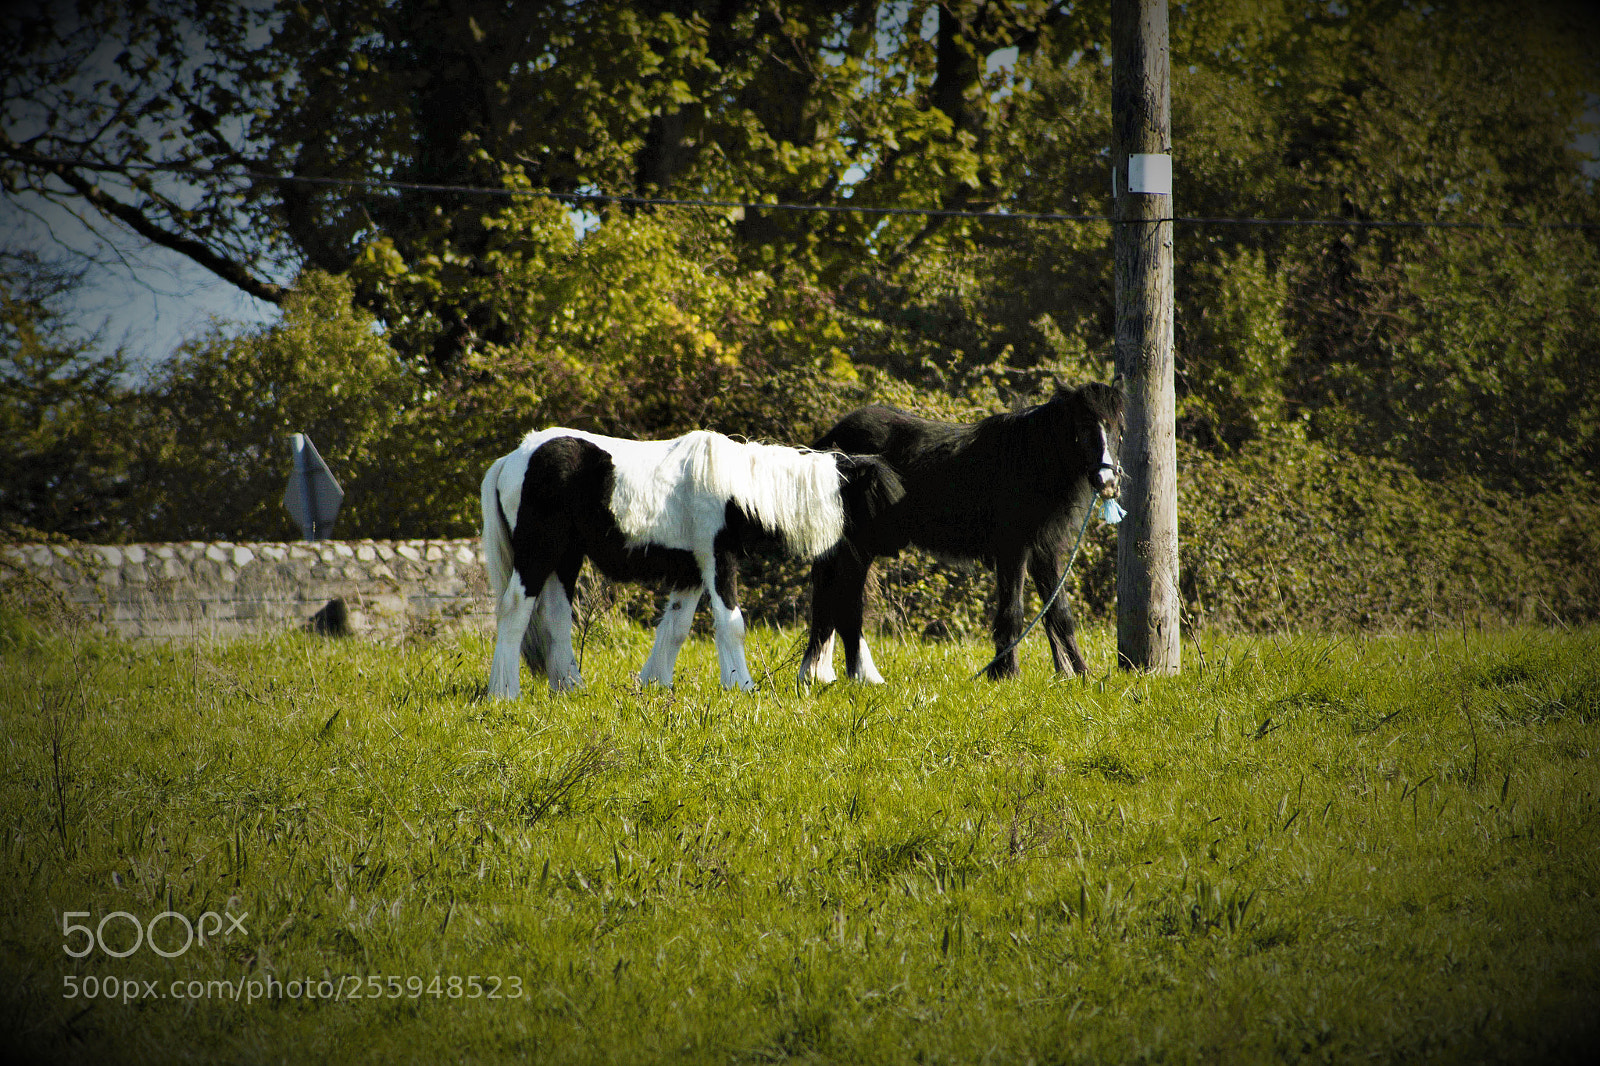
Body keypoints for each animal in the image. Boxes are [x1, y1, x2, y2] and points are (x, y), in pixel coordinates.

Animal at [481, 427, 902, 697]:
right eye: (874, 498)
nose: (891, 549)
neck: (739, 488)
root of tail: (511, 459)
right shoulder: (716, 560)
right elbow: (730, 624)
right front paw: (742, 686)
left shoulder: (691, 570)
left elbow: (676, 628)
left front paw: (655, 684)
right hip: (539, 552)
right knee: (516, 608)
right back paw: (504, 691)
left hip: (566, 558)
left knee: (555, 615)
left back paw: (570, 687)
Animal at [798, 380, 1124, 684]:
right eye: (1083, 427)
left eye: (1118, 428)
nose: (1107, 482)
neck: (1028, 460)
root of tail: (828, 443)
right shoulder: (1013, 549)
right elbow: (1012, 612)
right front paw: (1005, 674)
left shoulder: (1045, 551)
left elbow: (1060, 612)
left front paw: (1079, 673)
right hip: (857, 545)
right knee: (842, 601)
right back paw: (845, 674)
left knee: (832, 599)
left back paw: (823, 673)